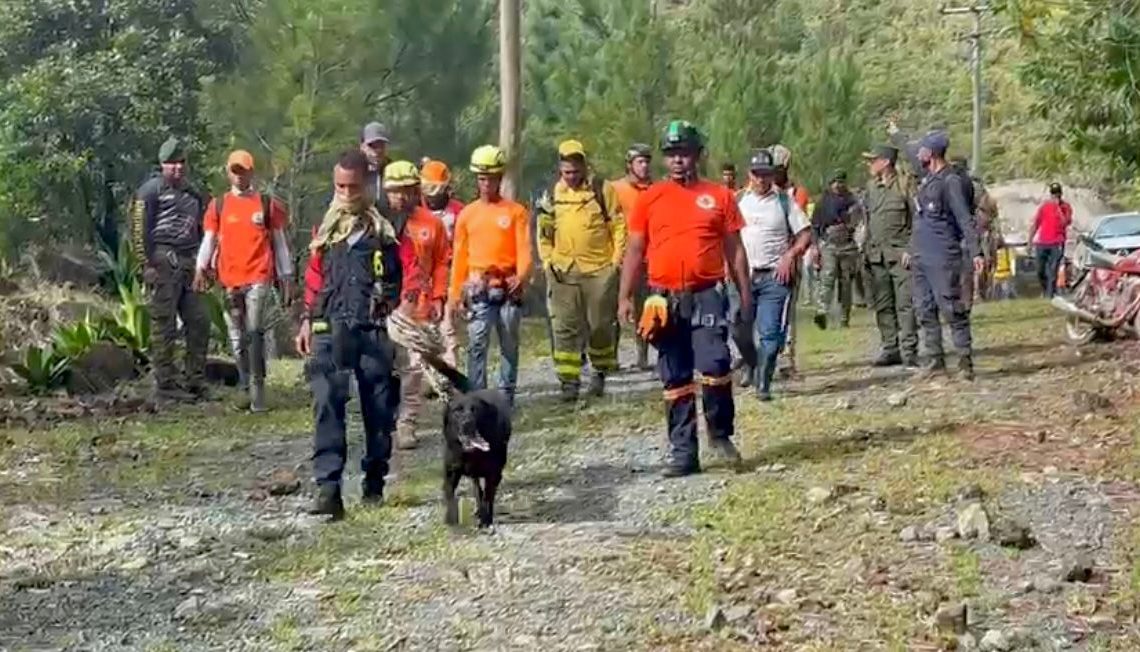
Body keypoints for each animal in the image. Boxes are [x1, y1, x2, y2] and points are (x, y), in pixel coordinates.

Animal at [421, 353, 510, 526]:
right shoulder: (451, 472)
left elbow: (488, 496)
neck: (470, 454)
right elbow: (450, 496)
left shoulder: (494, 473)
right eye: (457, 411)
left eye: (475, 410)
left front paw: (485, 519)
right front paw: (451, 518)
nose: (467, 422)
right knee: (476, 488)